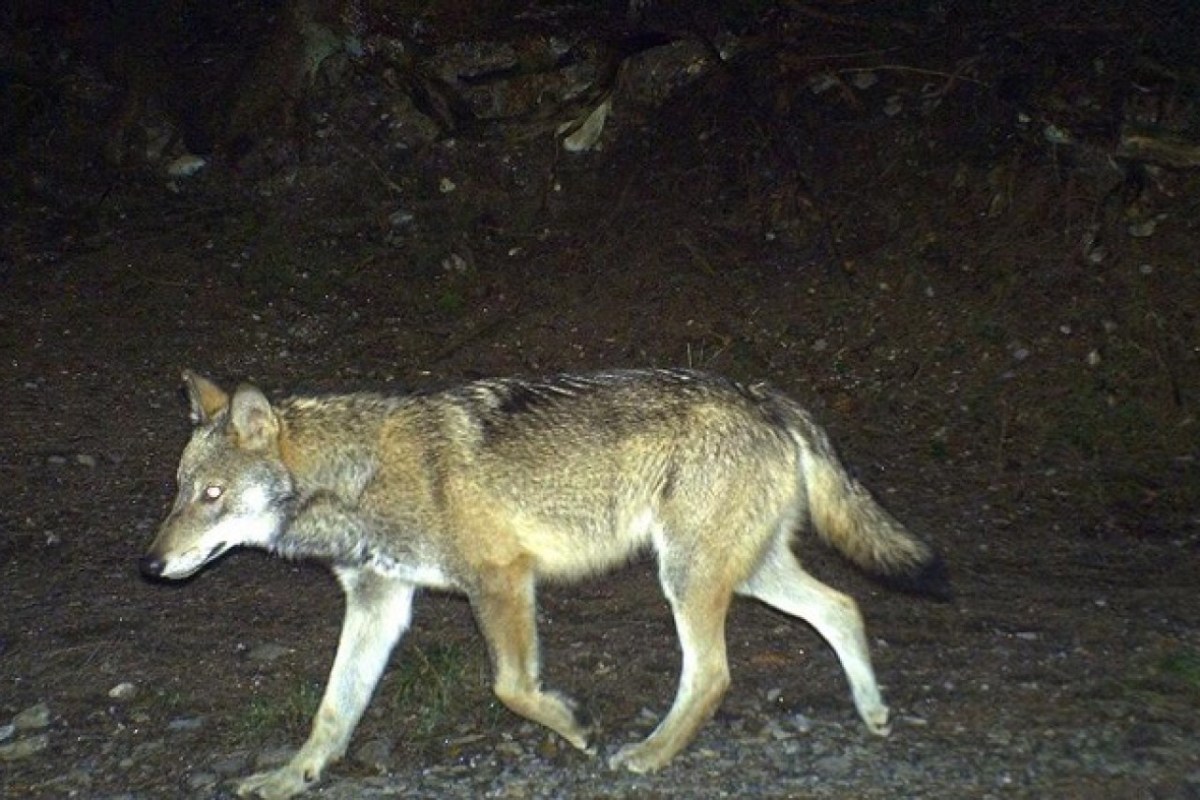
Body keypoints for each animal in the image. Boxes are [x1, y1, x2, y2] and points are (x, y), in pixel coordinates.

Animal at [140, 368, 948, 799]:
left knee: (715, 672)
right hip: (746, 573)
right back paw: (873, 712)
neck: (357, 477)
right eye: (177, 492)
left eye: (212, 495)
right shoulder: (378, 603)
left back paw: (650, 754)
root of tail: (764, 396)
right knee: (842, 606)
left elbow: (512, 687)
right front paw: (293, 776)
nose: (149, 566)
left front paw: (578, 728)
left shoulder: (500, 578)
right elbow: (333, 711)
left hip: (689, 577)